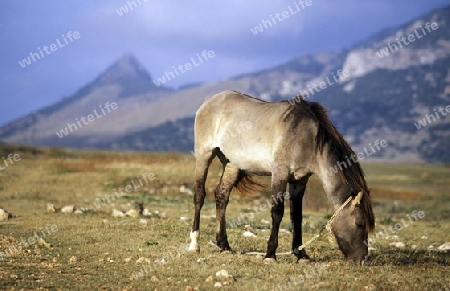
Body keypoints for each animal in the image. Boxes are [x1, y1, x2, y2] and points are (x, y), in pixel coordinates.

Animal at [188, 90, 374, 264]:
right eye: (360, 223)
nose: (362, 259)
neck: (307, 137)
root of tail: (210, 101)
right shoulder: (280, 174)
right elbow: (277, 212)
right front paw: (270, 254)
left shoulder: (299, 180)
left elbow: (296, 216)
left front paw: (301, 255)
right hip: (204, 155)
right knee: (199, 196)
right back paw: (194, 244)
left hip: (232, 164)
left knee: (222, 196)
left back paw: (224, 246)